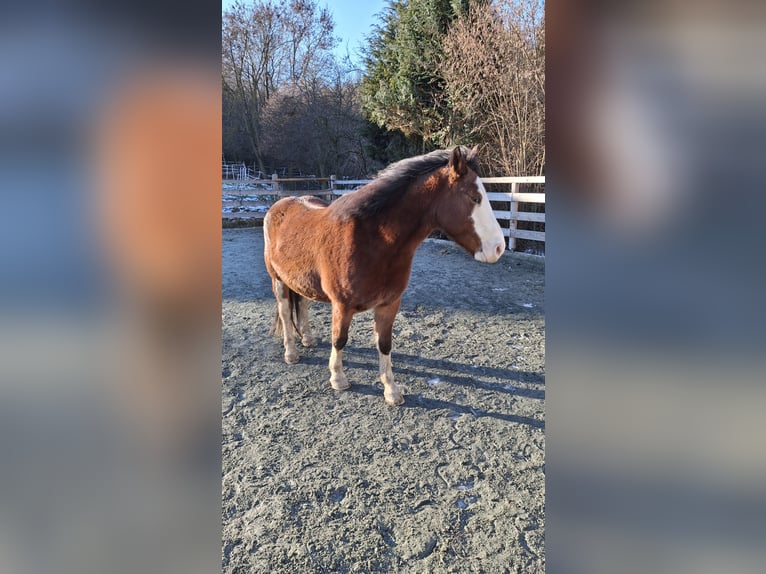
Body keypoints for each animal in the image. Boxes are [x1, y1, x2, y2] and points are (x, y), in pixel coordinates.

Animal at [263, 145, 506, 406]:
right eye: (474, 198)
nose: (499, 247)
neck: (373, 241)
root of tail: (280, 205)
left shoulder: (389, 304)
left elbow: (385, 344)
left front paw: (391, 390)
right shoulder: (342, 305)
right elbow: (340, 339)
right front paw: (338, 379)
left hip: (302, 281)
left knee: (303, 304)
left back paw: (308, 339)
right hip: (278, 281)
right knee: (285, 313)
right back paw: (291, 353)